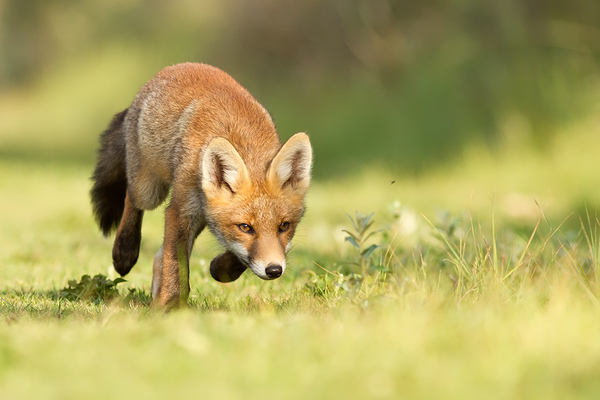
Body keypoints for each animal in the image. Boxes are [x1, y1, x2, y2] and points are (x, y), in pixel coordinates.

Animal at [91, 64, 314, 310]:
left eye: (284, 226)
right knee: (131, 198)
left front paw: (218, 268)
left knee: (159, 256)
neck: (243, 141)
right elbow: (176, 266)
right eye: (245, 227)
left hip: (196, 212)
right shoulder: (181, 211)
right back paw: (125, 251)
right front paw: (169, 306)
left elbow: (229, 256)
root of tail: (181, 66)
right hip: (149, 190)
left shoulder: (207, 212)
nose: (274, 270)